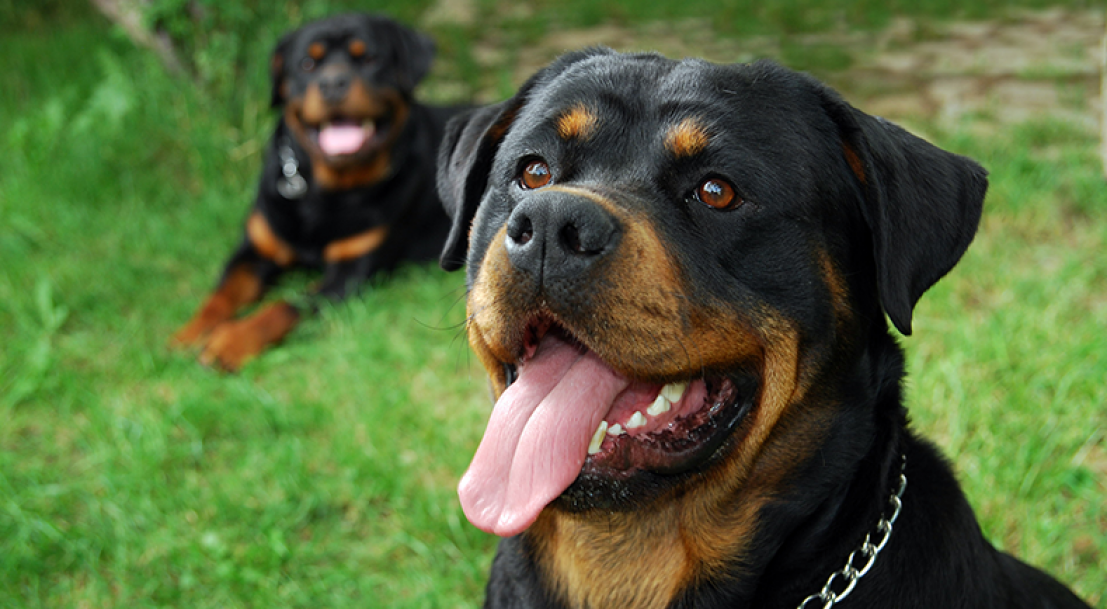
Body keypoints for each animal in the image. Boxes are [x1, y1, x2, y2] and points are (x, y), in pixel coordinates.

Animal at [171, 13, 462, 372]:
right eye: (307, 64)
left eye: (369, 58)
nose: (333, 83)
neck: (326, 193)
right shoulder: (255, 249)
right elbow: (220, 295)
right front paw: (191, 333)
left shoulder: (348, 275)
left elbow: (285, 305)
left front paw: (230, 341)